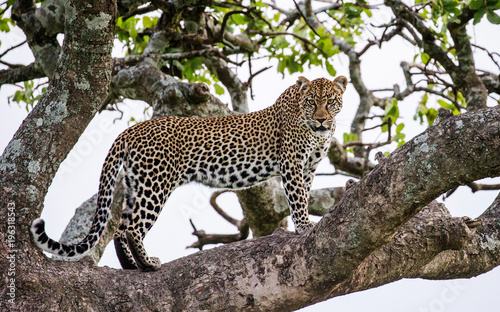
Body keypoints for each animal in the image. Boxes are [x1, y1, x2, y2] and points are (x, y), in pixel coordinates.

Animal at [30, 75, 348, 270]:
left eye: (331, 102)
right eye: (311, 102)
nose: (322, 120)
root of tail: (131, 129)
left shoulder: (308, 169)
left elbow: (304, 194)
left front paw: (304, 223)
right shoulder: (293, 165)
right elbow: (298, 200)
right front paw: (304, 226)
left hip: (136, 183)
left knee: (120, 227)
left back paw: (132, 267)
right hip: (155, 183)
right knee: (133, 228)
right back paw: (148, 264)